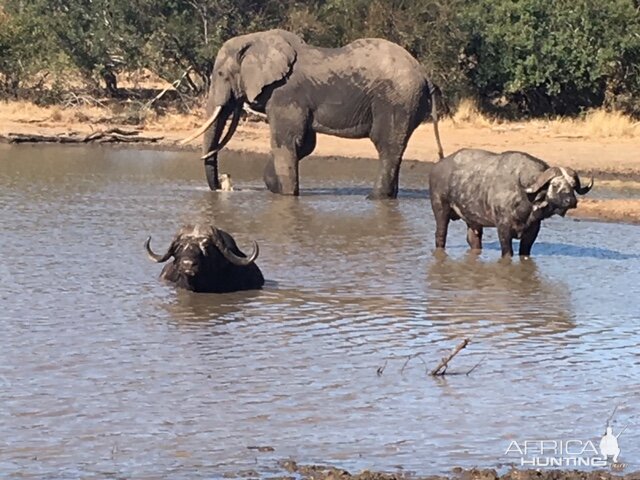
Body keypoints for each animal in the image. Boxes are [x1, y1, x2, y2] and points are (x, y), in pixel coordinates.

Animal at [181, 28, 444, 199]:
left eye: (221, 75)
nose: (220, 184)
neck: (256, 39)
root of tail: (425, 75)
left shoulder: (284, 93)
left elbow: (286, 142)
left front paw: (287, 195)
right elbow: (304, 144)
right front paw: (274, 185)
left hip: (395, 101)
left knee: (386, 146)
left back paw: (374, 198)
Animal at [430, 148, 596, 256]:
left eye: (573, 185)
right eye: (555, 185)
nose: (571, 201)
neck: (525, 198)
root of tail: (437, 167)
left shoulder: (533, 231)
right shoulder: (503, 228)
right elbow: (507, 253)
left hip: (473, 223)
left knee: (474, 241)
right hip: (440, 211)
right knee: (440, 236)